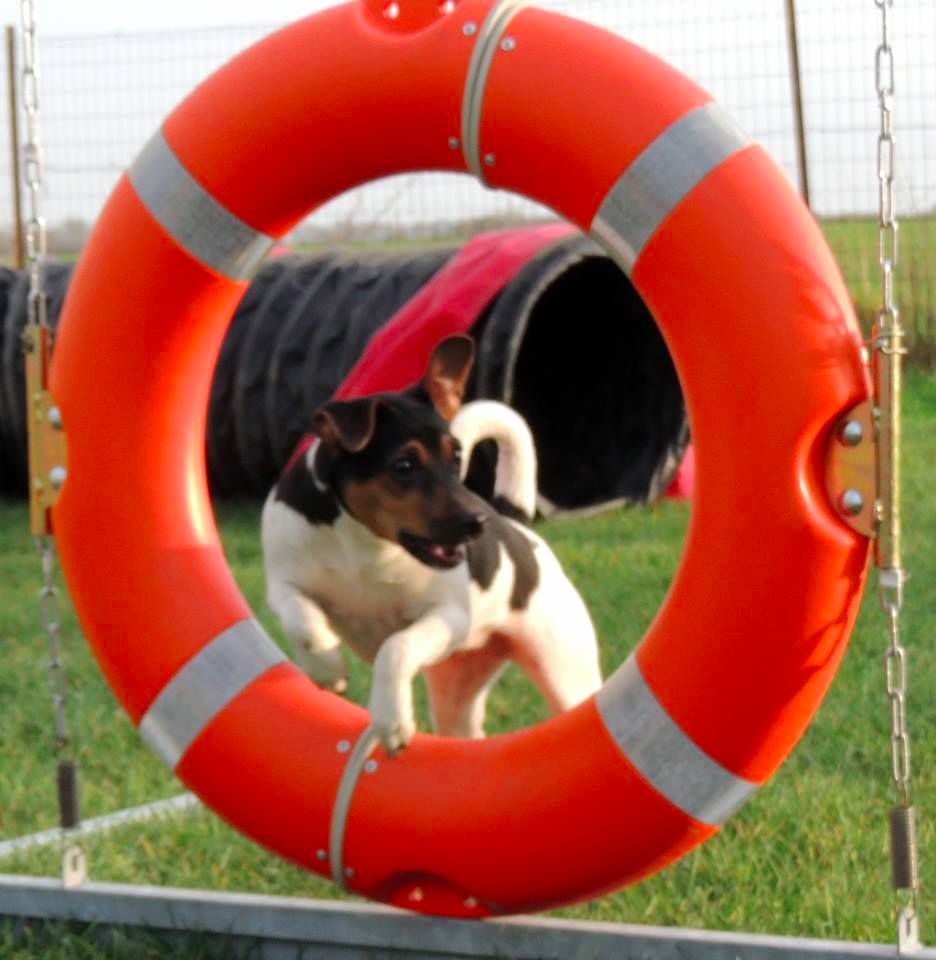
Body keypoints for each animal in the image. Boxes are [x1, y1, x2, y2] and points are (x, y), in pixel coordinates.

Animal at [261, 334, 601, 754]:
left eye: (456, 458)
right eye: (403, 466)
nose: (478, 523)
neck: (366, 544)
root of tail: (515, 521)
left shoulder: (448, 616)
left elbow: (396, 647)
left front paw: (392, 720)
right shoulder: (282, 584)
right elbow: (302, 618)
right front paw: (325, 666)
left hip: (565, 670)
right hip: (457, 690)